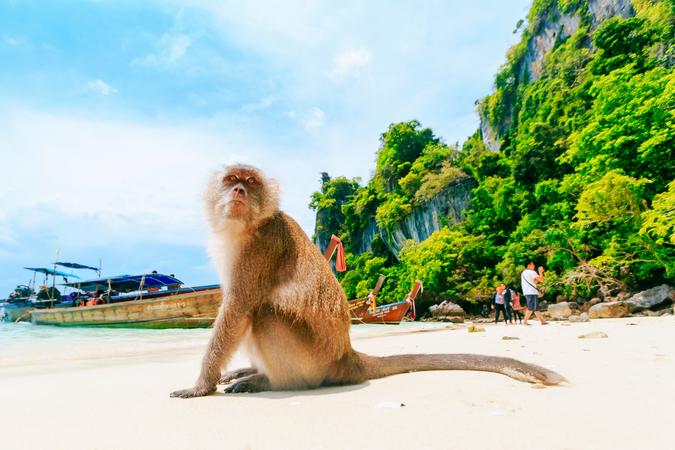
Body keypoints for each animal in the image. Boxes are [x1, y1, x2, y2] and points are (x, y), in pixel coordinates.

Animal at [170, 164, 565, 398]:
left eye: (249, 183)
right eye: (231, 181)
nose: (238, 192)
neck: (248, 226)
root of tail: (347, 357)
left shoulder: (260, 248)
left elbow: (237, 310)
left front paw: (200, 386)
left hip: (312, 362)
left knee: (263, 312)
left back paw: (270, 381)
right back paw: (253, 371)